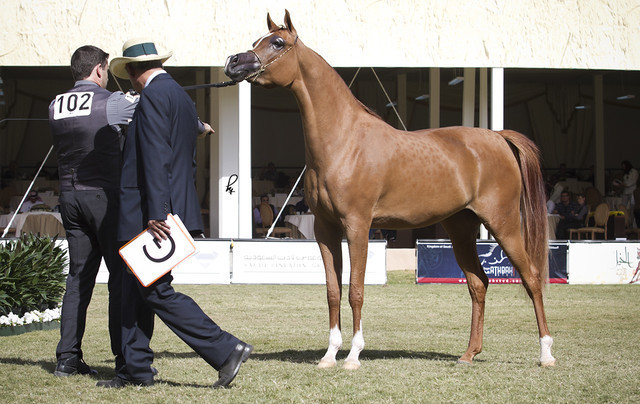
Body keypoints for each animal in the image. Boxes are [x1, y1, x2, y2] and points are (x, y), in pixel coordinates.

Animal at [225, 10, 556, 370]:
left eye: (277, 42)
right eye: (256, 40)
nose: (233, 62)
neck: (343, 140)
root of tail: (499, 138)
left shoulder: (358, 226)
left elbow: (355, 290)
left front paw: (353, 356)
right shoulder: (325, 229)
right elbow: (332, 291)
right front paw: (329, 355)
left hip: (503, 223)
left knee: (532, 278)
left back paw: (546, 354)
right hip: (461, 228)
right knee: (478, 284)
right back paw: (469, 354)